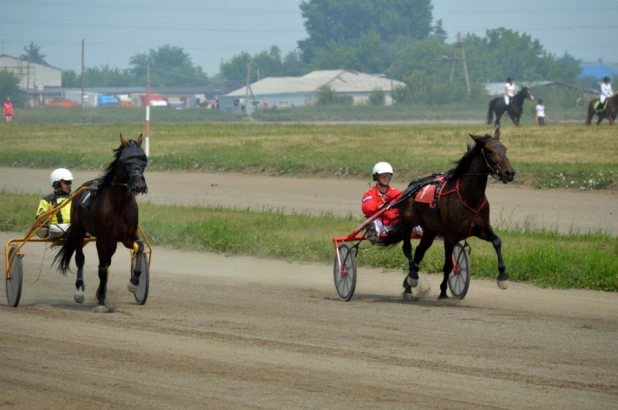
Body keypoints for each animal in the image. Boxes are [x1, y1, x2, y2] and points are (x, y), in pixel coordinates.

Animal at [53, 134, 148, 310]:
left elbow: (140, 247)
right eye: (126, 160)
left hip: (112, 242)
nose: (139, 185)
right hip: (79, 231)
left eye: (143, 158)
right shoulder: (102, 239)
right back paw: (80, 292)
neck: (119, 204)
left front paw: (134, 282)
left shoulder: (127, 237)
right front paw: (102, 302)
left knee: (107, 261)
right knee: (80, 259)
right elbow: (102, 269)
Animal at [382, 130, 512, 300]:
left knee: (419, 252)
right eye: (490, 151)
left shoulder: (481, 228)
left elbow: (497, 241)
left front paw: (502, 277)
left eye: (505, 148)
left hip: (429, 231)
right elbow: (448, 265)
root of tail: (411, 186)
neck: (468, 196)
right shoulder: (450, 236)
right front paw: (443, 291)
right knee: (407, 248)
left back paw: (409, 285)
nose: (509, 173)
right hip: (407, 222)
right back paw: (412, 279)